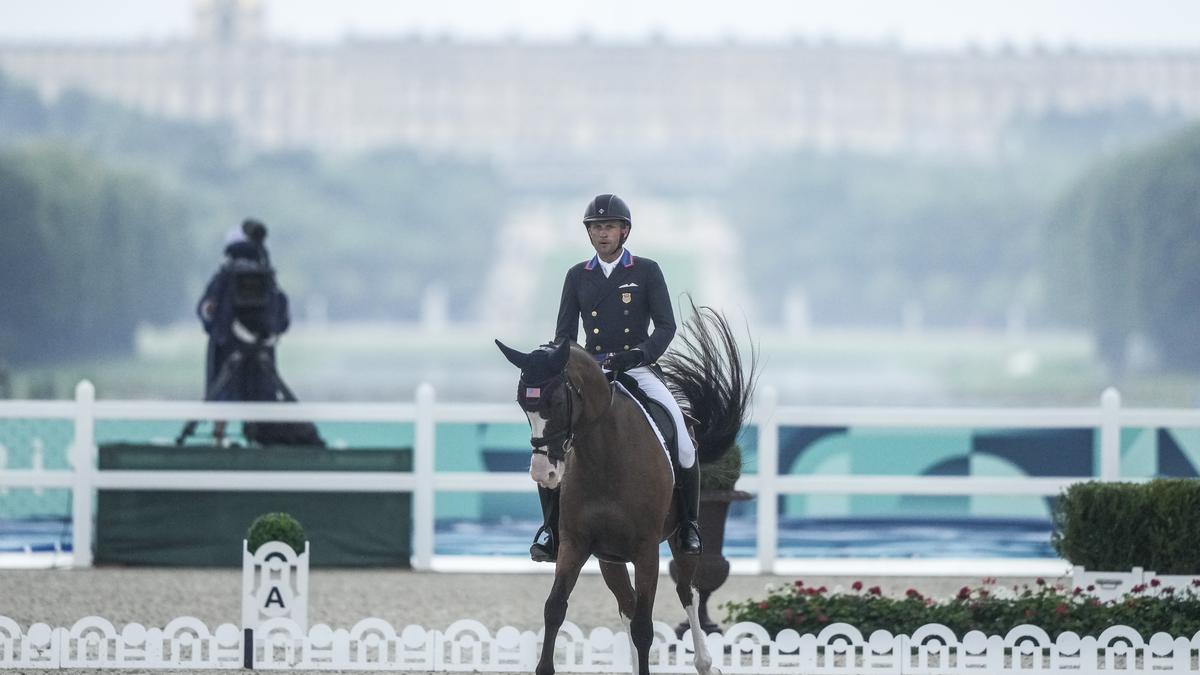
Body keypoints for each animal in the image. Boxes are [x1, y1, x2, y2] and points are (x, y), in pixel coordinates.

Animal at [492, 303, 753, 672]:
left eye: (556, 402)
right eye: (522, 404)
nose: (544, 473)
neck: (606, 458)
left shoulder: (646, 551)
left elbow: (645, 626)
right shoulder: (574, 544)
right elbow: (555, 608)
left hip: (677, 542)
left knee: (687, 592)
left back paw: (705, 662)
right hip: (609, 559)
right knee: (627, 603)